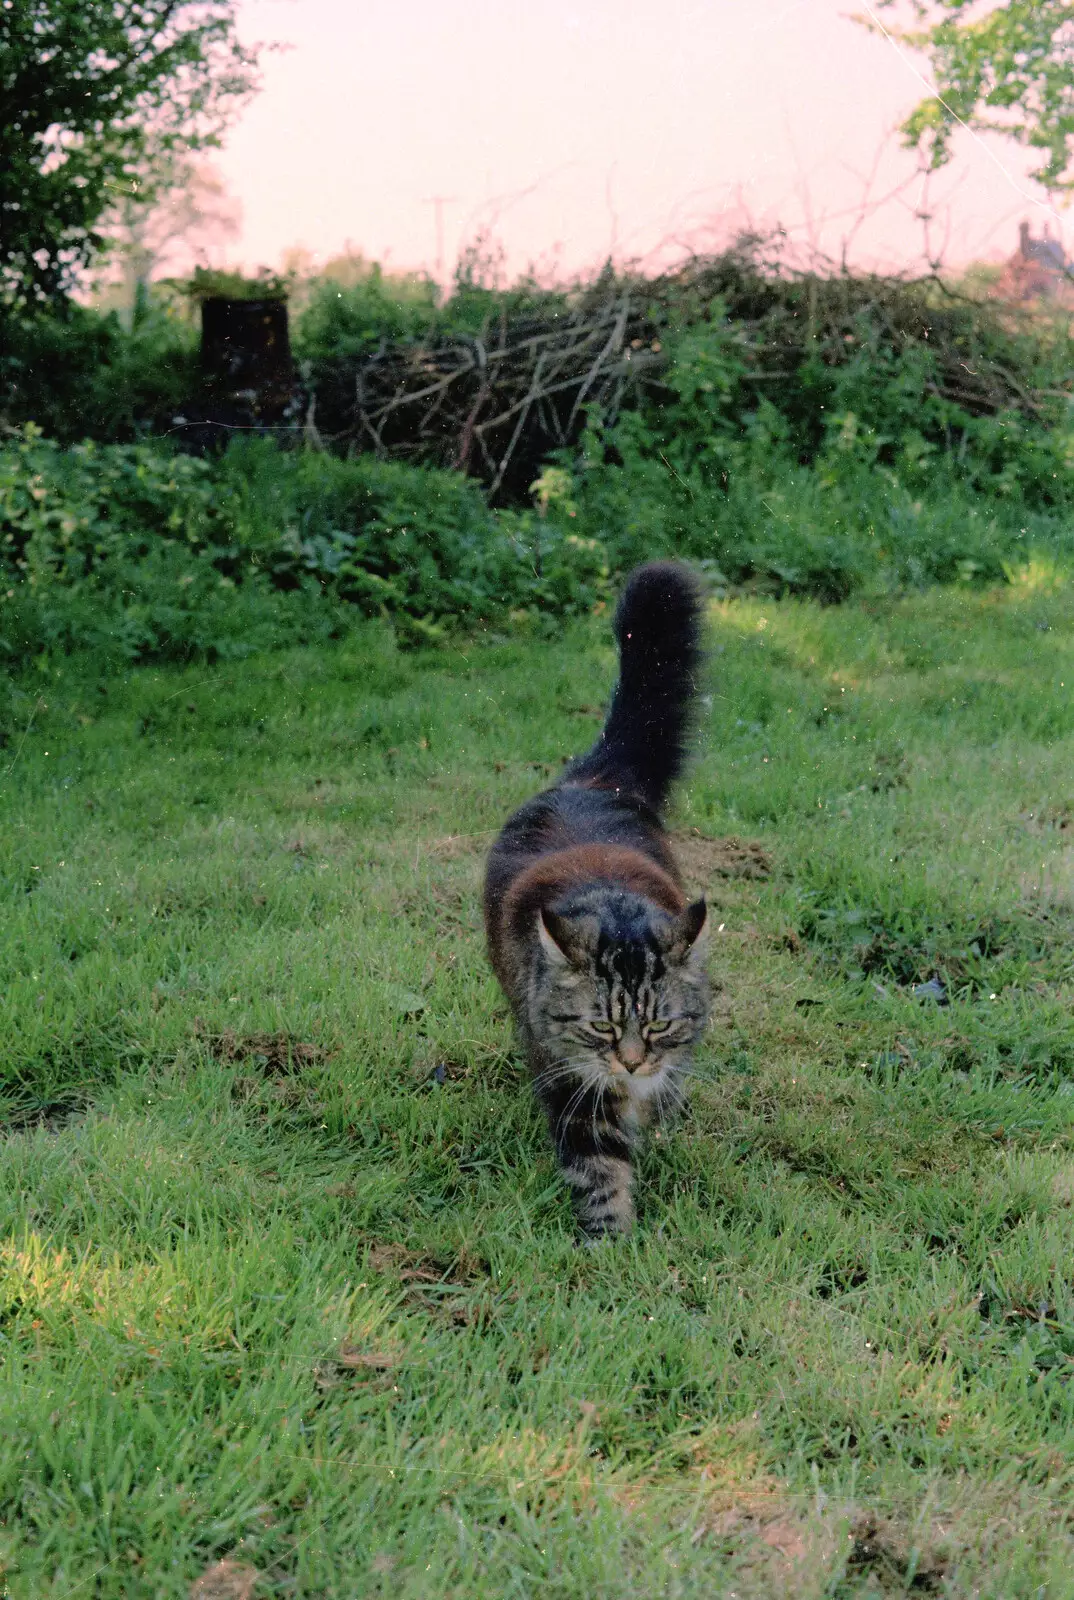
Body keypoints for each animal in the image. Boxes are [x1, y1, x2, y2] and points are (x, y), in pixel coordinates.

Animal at [483, 563, 710, 1235]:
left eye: (658, 1023)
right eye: (601, 1026)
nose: (631, 1062)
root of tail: (588, 779)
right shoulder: (570, 1084)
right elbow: (599, 1169)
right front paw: (611, 1240)